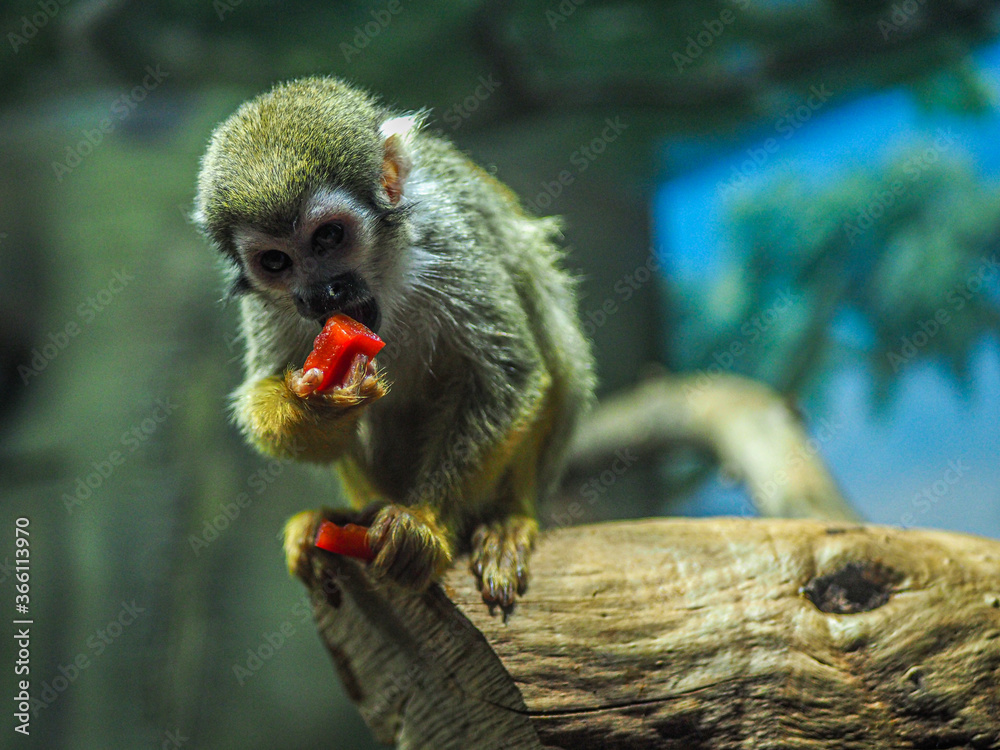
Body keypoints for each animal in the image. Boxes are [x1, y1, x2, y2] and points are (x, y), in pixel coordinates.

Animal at [194, 76, 595, 609]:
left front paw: (423, 522)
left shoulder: (446, 239)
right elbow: (266, 394)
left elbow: (509, 371)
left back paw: (507, 516)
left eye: (329, 236)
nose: (322, 294)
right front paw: (316, 406)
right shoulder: (267, 306)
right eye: (276, 262)